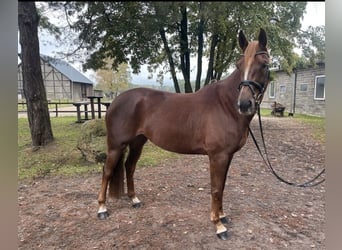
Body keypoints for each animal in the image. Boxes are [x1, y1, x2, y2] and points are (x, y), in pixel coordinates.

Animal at [95, 27, 270, 240]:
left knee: (129, 167)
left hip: (137, 142)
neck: (226, 105)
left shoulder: (227, 156)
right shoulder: (218, 156)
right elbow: (216, 188)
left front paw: (222, 215)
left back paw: (135, 200)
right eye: (239, 65)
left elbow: (222, 186)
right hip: (115, 145)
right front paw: (218, 225)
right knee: (107, 171)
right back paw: (102, 209)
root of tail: (116, 101)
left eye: (264, 64)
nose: (244, 104)